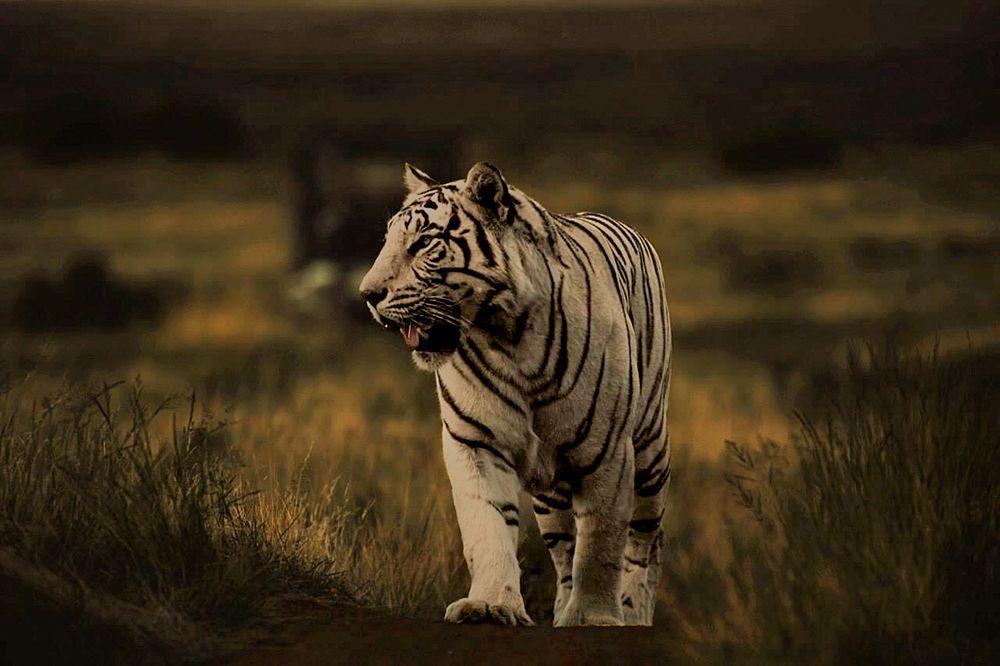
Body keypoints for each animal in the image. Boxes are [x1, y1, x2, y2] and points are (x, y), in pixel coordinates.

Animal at [359, 162, 671, 627]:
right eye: (388, 241)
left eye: (424, 243)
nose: (367, 295)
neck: (508, 337)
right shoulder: (474, 441)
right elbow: (488, 525)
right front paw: (491, 605)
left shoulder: (608, 451)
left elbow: (602, 541)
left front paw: (594, 616)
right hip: (551, 492)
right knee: (564, 549)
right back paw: (562, 609)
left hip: (650, 453)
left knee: (646, 540)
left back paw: (633, 611)